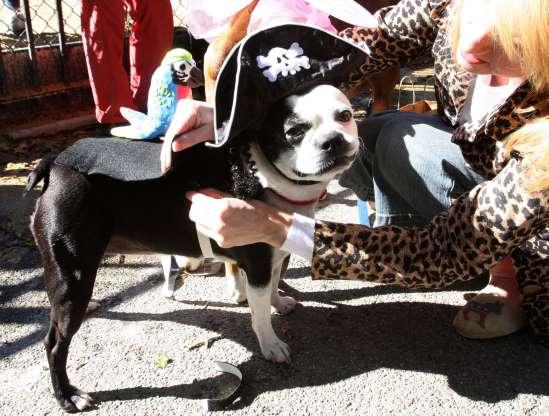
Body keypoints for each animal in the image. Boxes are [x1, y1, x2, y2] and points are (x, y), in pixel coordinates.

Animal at [27, 83, 358, 412]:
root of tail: (56, 163)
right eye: (295, 131)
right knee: (54, 343)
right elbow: (260, 312)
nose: (333, 140)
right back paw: (67, 396)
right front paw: (271, 345)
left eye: (345, 115)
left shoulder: (274, 256)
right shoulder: (257, 266)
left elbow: (276, 283)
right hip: (73, 278)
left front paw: (279, 302)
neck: (263, 173)